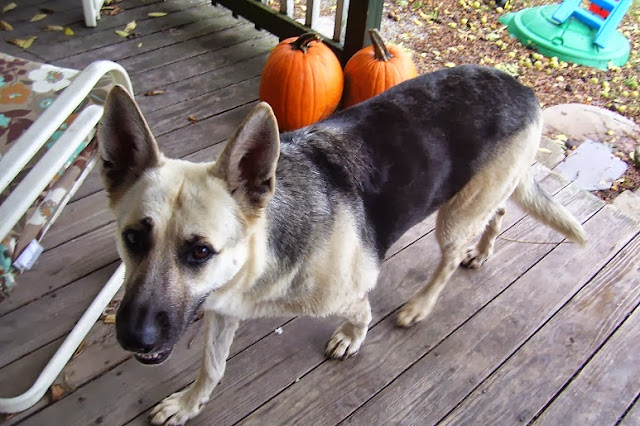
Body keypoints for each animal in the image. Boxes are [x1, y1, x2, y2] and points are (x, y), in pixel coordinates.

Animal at [97, 65, 586, 425]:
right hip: (482, 197)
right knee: (498, 213)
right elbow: (212, 367)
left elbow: (362, 310)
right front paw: (189, 404)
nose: (132, 339)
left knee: (446, 260)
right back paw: (482, 251)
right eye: (132, 238)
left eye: (200, 251)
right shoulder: (222, 309)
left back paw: (420, 305)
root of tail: (521, 86)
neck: (261, 258)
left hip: (455, 216)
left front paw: (352, 336)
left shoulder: (350, 288)